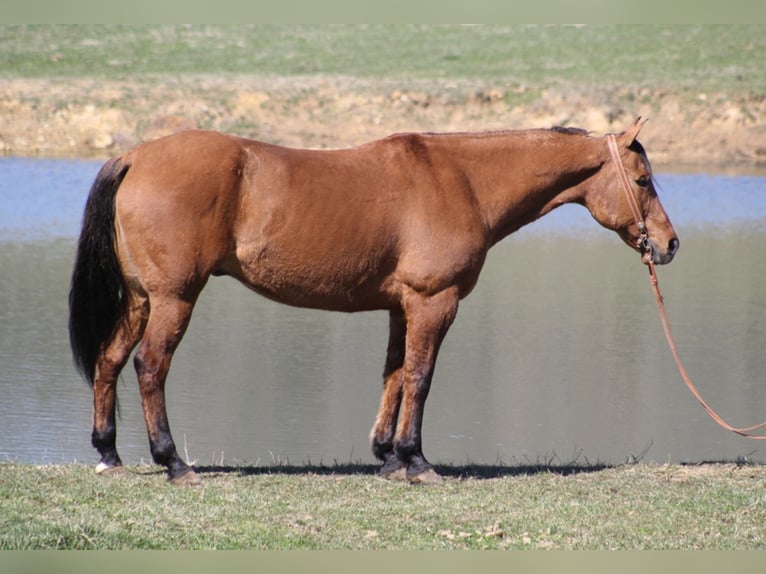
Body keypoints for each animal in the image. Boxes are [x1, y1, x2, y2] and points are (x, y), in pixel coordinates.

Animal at [67, 117, 680, 486]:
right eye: (643, 180)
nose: (669, 244)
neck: (461, 181)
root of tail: (136, 157)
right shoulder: (435, 303)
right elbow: (420, 378)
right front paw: (417, 461)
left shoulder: (400, 307)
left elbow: (394, 376)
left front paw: (387, 456)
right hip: (174, 299)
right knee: (150, 367)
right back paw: (173, 463)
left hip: (142, 300)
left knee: (109, 361)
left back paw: (109, 453)